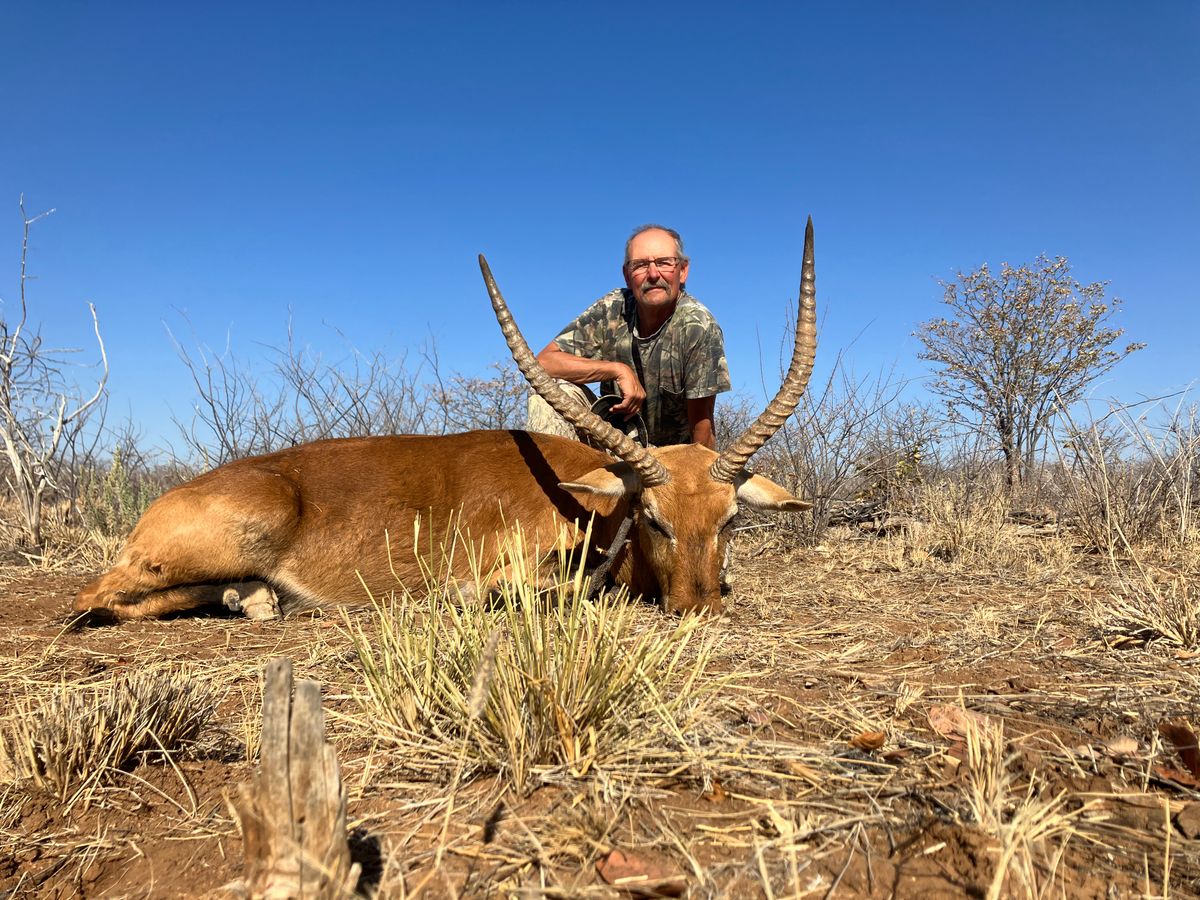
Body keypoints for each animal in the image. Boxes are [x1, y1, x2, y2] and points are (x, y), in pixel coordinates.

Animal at [73, 220, 818, 621]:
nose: (700, 609)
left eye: (730, 520)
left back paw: (252, 599)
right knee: (95, 595)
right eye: (654, 518)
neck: (591, 509)